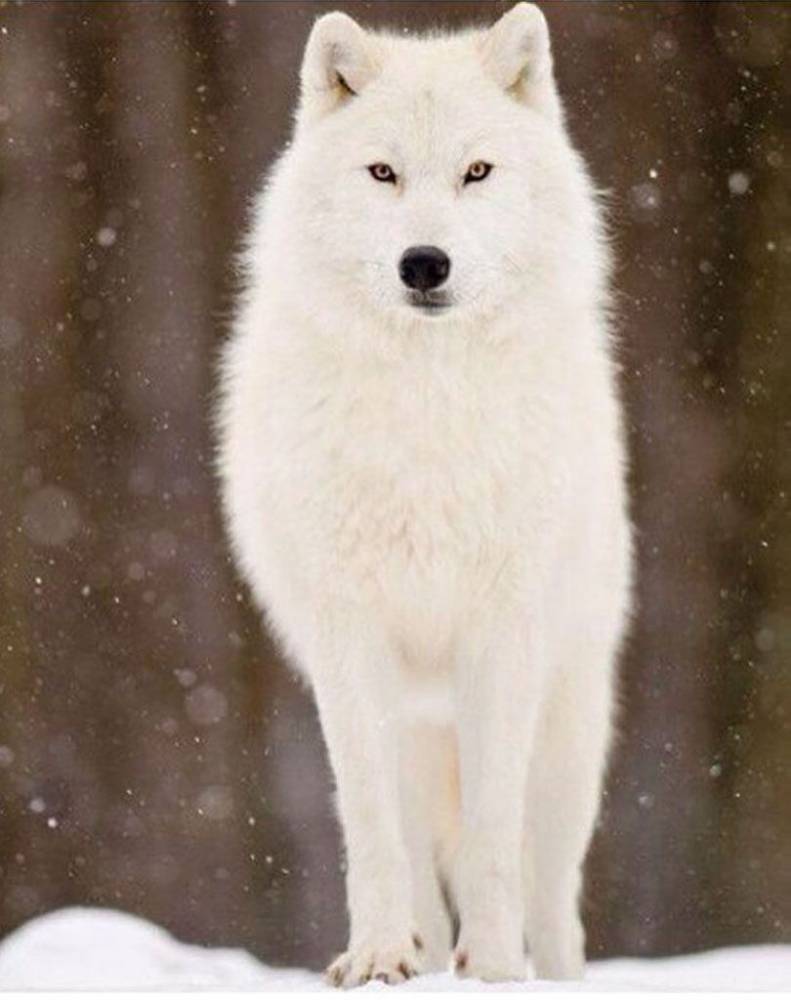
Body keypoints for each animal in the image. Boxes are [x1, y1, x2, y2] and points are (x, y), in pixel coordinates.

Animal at [217, 2, 632, 985]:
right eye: (383, 172)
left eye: (476, 171)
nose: (424, 263)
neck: (426, 418)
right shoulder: (349, 643)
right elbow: (373, 836)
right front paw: (376, 957)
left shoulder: (503, 637)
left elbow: (489, 838)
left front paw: (495, 970)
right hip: (409, 728)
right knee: (413, 854)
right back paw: (420, 954)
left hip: (569, 733)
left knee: (554, 894)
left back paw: (546, 973)